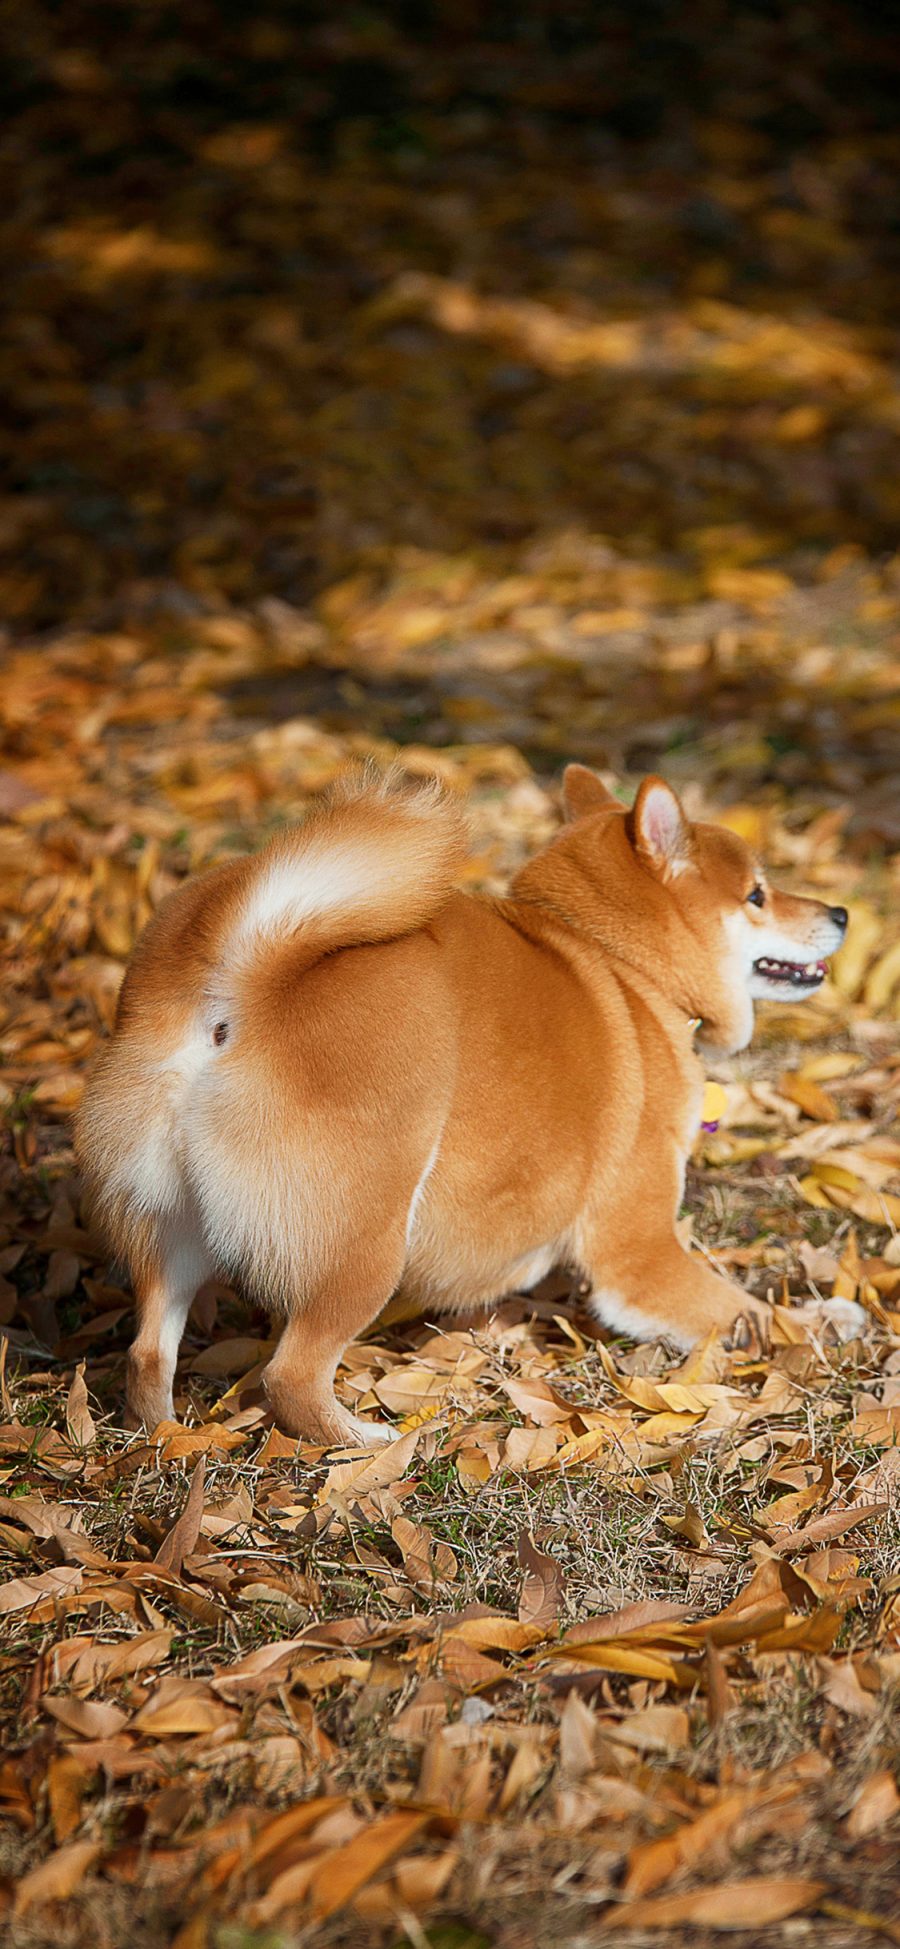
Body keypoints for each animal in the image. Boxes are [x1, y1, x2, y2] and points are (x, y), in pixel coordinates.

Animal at [78, 764, 857, 1450]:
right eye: (757, 894)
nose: (842, 911)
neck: (621, 965)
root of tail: (244, 976)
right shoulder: (638, 1252)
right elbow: (754, 1311)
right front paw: (832, 1318)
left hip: (170, 1227)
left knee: (147, 1354)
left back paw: (170, 1439)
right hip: (364, 1243)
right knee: (291, 1376)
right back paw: (363, 1441)